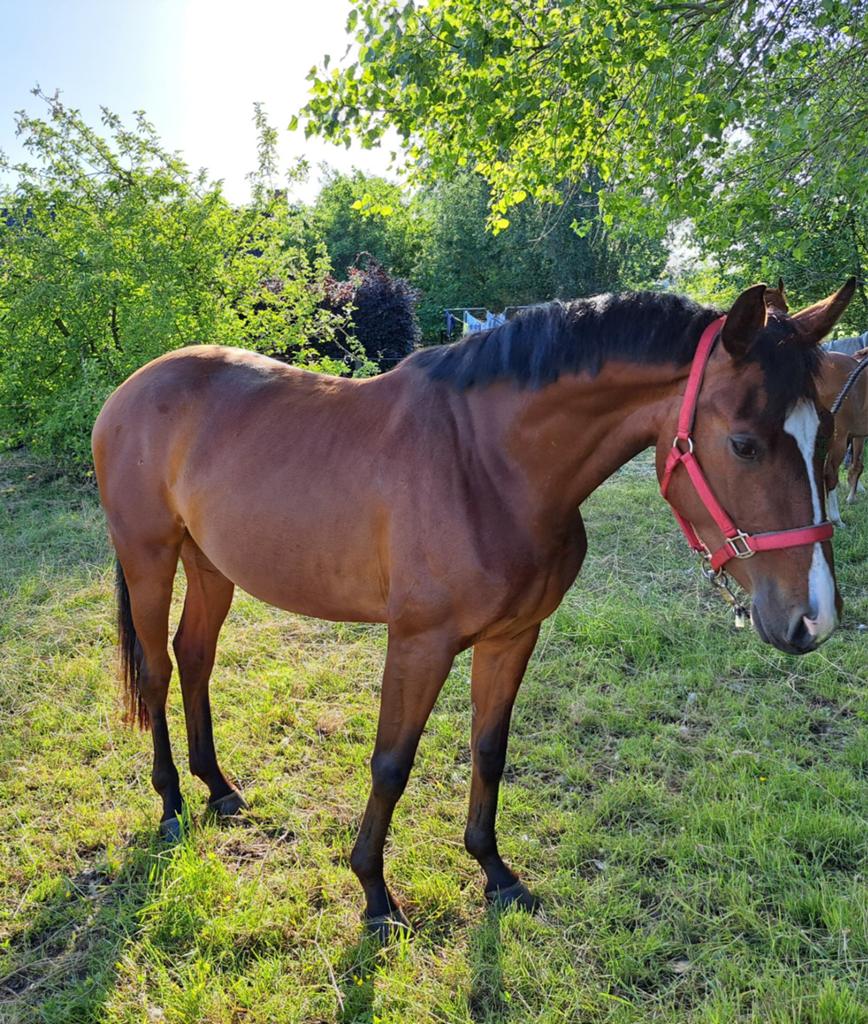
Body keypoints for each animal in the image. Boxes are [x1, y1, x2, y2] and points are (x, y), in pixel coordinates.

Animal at [92, 279, 854, 936]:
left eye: (826, 438)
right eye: (744, 444)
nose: (812, 619)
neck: (487, 465)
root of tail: (131, 389)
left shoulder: (513, 637)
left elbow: (490, 750)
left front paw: (495, 872)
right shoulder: (418, 643)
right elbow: (391, 763)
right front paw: (374, 894)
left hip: (210, 565)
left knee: (194, 657)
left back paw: (217, 787)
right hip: (150, 557)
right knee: (157, 672)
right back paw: (171, 803)